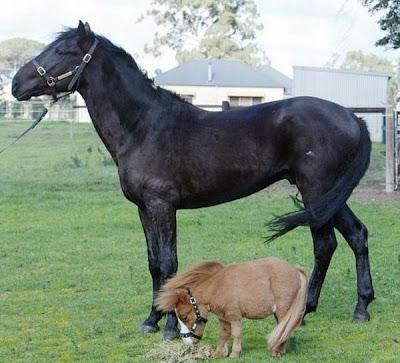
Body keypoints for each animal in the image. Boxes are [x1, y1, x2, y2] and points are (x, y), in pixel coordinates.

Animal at [12, 22, 376, 342]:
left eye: (63, 51)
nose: (16, 83)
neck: (143, 127)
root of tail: (352, 117)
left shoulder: (162, 205)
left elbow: (169, 263)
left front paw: (172, 328)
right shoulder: (144, 208)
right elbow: (153, 263)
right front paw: (152, 319)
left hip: (316, 190)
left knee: (325, 244)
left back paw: (311, 310)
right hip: (330, 195)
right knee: (356, 235)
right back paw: (358, 307)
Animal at [155, 258, 306, 360]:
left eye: (184, 317)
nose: (186, 342)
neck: (218, 288)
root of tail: (295, 270)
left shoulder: (234, 316)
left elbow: (236, 333)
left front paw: (234, 354)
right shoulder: (223, 318)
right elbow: (224, 334)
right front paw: (218, 353)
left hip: (283, 309)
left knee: (285, 327)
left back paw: (277, 352)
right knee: (283, 328)